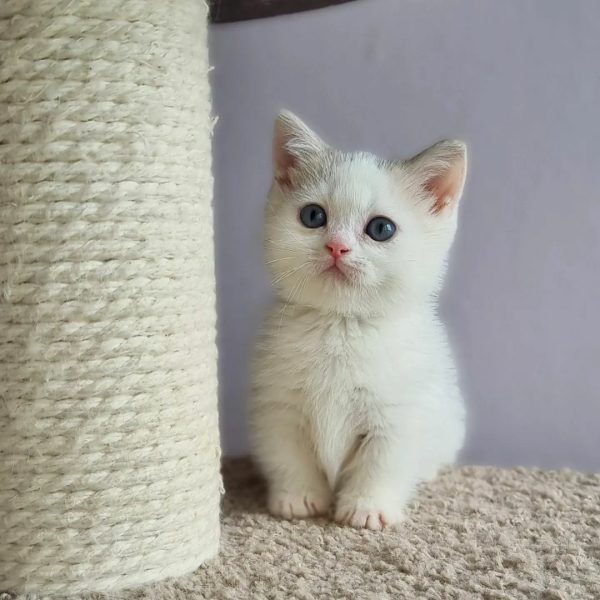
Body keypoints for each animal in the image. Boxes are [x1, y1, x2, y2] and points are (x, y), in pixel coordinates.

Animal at [248, 112, 468, 528]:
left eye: (381, 229)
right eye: (313, 216)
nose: (337, 246)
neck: (342, 325)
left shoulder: (398, 413)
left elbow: (381, 462)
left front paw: (367, 507)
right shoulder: (279, 405)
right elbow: (288, 454)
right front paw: (298, 498)